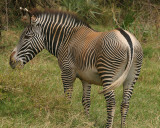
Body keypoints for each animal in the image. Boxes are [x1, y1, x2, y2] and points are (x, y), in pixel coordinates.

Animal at [9, 8, 143, 128]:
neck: (66, 38)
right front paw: (87, 121)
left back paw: (108, 125)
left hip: (108, 73)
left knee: (111, 101)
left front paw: (66, 117)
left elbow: (67, 98)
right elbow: (86, 101)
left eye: (26, 37)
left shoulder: (67, 73)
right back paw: (123, 125)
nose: (11, 61)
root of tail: (128, 41)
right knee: (125, 103)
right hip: (132, 77)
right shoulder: (86, 78)